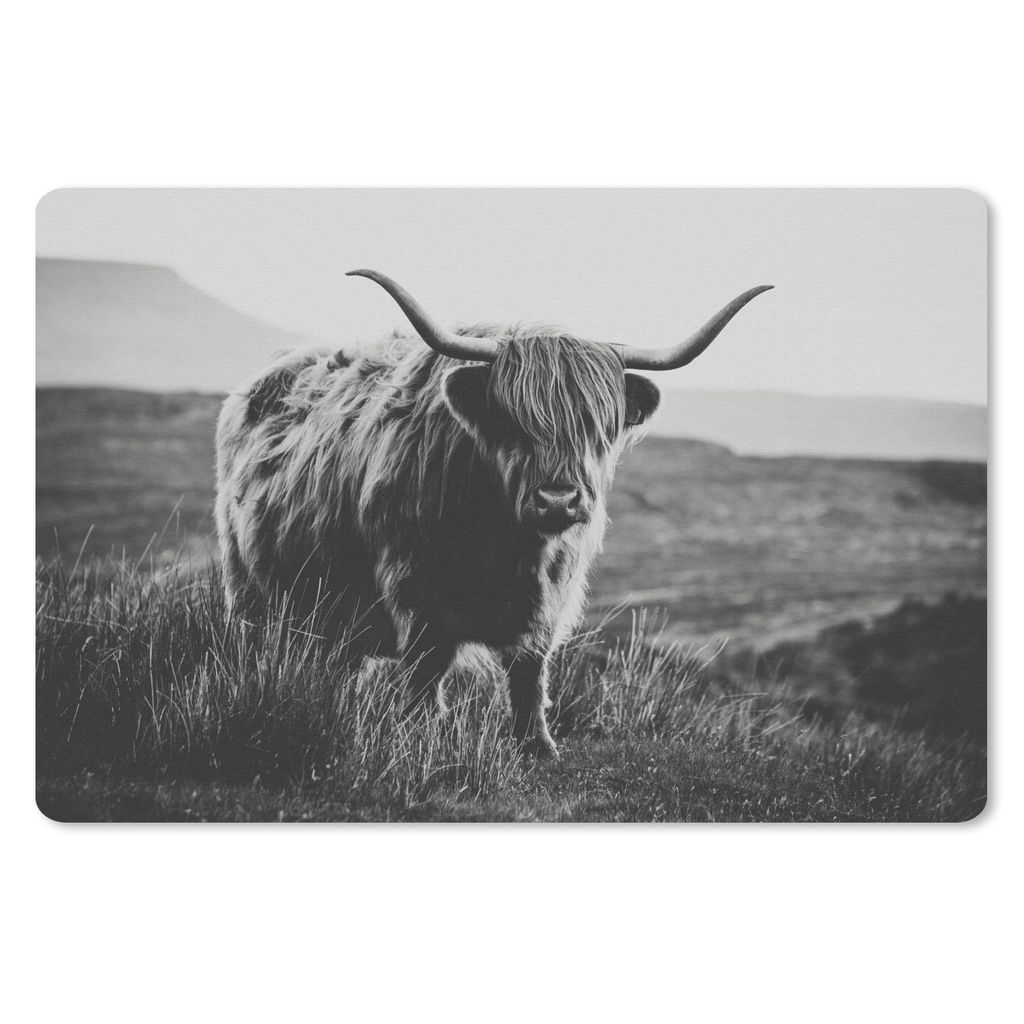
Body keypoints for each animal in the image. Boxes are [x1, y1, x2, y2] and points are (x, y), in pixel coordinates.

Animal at [215, 270, 771, 757]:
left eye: (597, 426)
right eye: (512, 419)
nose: (558, 500)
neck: (507, 542)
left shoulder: (551, 597)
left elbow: (529, 671)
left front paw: (538, 746)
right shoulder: (416, 589)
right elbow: (426, 667)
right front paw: (423, 734)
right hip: (251, 592)